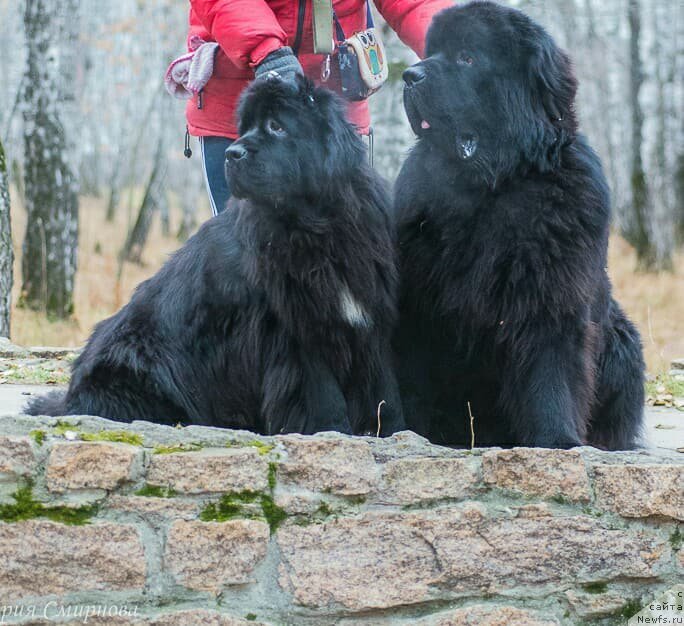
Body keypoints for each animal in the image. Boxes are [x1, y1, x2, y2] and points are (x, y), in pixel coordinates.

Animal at [28, 75, 406, 436]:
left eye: (276, 127)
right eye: (246, 128)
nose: (232, 154)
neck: (316, 226)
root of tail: (71, 392)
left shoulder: (371, 317)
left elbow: (386, 386)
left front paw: (395, 429)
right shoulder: (301, 330)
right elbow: (322, 393)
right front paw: (333, 430)